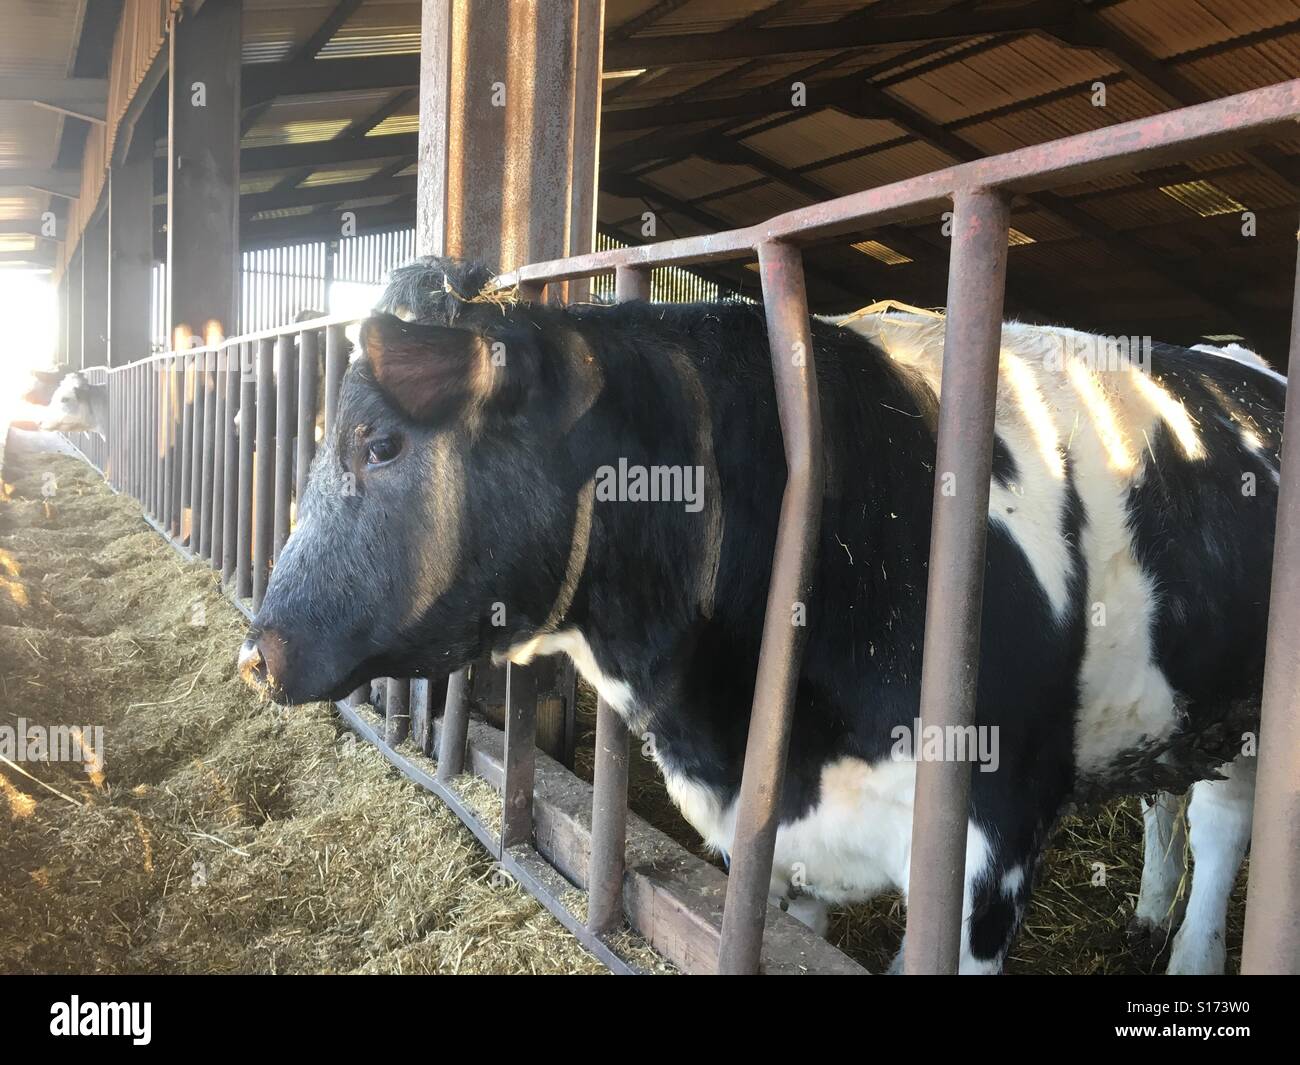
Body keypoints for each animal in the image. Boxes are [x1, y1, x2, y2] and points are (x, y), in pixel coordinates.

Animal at [238, 258, 1282, 974]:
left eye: (378, 442)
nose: (255, 653)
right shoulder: (781, 849)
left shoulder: (994, 842)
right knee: (1170, 798)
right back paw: (1147, 911)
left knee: (1227, 824)